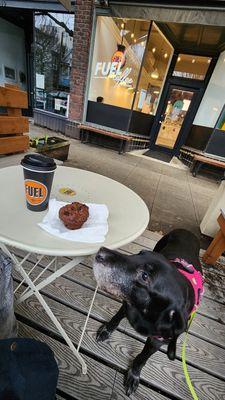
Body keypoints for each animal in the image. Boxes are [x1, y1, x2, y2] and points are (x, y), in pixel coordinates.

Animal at [92, 230, 203, 396]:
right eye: (139, 253)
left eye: (144, 276)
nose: (100, 251)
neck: (145, 313)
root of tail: (187, 231)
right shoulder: (128, 305)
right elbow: (115, 319)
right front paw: (106, 330)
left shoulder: (157, 341)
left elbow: (142, 358)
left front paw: (134, 374)